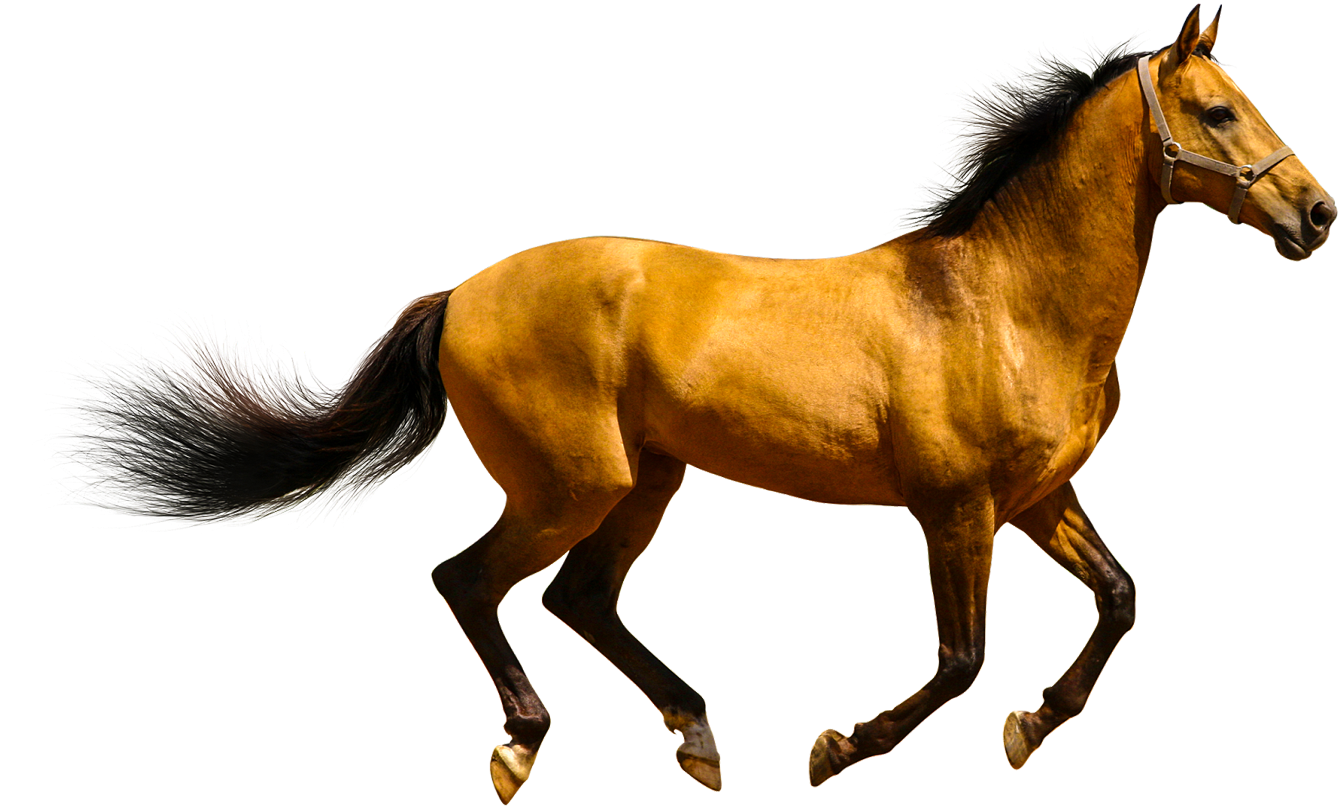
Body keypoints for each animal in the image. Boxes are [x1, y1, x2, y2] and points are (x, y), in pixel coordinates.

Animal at [17, 4, 1332, 802]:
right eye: (1218, 111)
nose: (1318, 215)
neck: (1003, 301)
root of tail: (461, 292)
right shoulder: (954, 508)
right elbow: (961, 658)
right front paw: (837, 749)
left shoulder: (1039, 499)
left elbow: (1118, 602)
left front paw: (1031, 727)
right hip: (577, 481)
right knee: (474, 581)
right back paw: (522, 748)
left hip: (648, 479)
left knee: (578, 599)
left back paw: (696, 737)